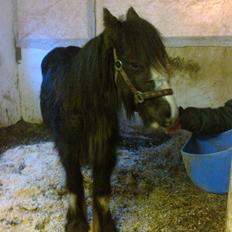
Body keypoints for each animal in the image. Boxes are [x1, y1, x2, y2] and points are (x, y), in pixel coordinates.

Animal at [40, 7, 178, 232]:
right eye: (134, 64)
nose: (171, 113)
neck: (82, 108)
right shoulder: (68, 150)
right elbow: (75, 185)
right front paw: (76, 223)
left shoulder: (105, 152)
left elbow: (102, 193)